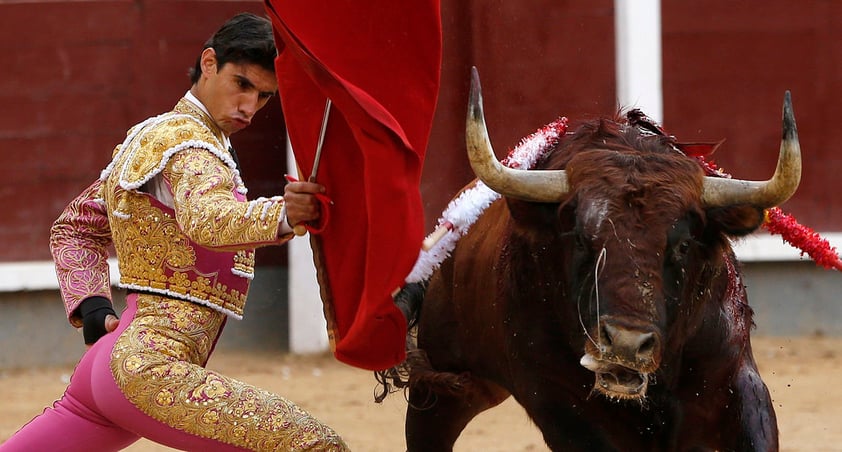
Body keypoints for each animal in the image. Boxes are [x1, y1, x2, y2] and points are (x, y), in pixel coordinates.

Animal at [394, 69, 796, 450]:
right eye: (580, 239)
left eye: (683, 245)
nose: (625, 344)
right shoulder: (562, 406)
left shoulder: (737, 384)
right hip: (444, 386)